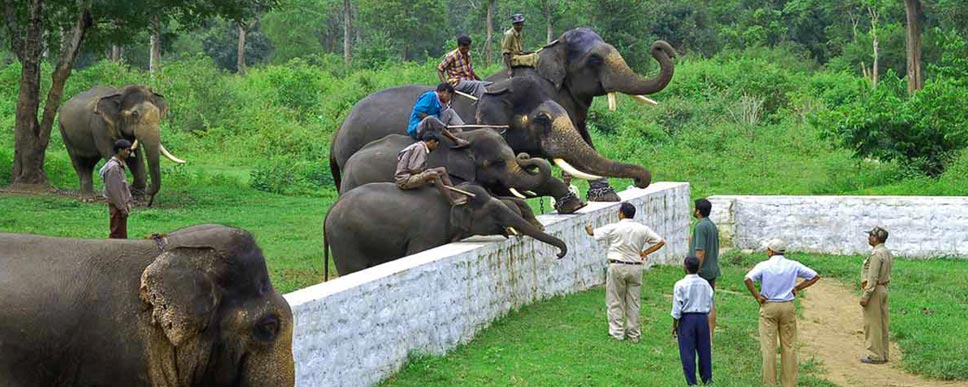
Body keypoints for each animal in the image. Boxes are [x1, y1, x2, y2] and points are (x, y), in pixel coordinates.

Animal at [59, 85, 187, 206]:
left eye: (157, 113)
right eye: (135, 114)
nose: (149, 189)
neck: (119, 92)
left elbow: (136, 156)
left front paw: (138, 198)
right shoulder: (100, 126)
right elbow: (111, 153)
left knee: (90, 163)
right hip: (64, 132)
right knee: (78, 162)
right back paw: (87, 199)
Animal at [326, 182, 568, 276]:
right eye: (493, 211)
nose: (558, 254)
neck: (455, 194)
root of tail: (329, 211)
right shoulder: (426, 232)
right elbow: (416, 252)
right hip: (344, 239)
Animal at [488, 28, 676, 202]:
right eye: (594, 60)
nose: (659, 47)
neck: (554, 47)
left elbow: (584, 135)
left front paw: (606, 196)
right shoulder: (552, 97)